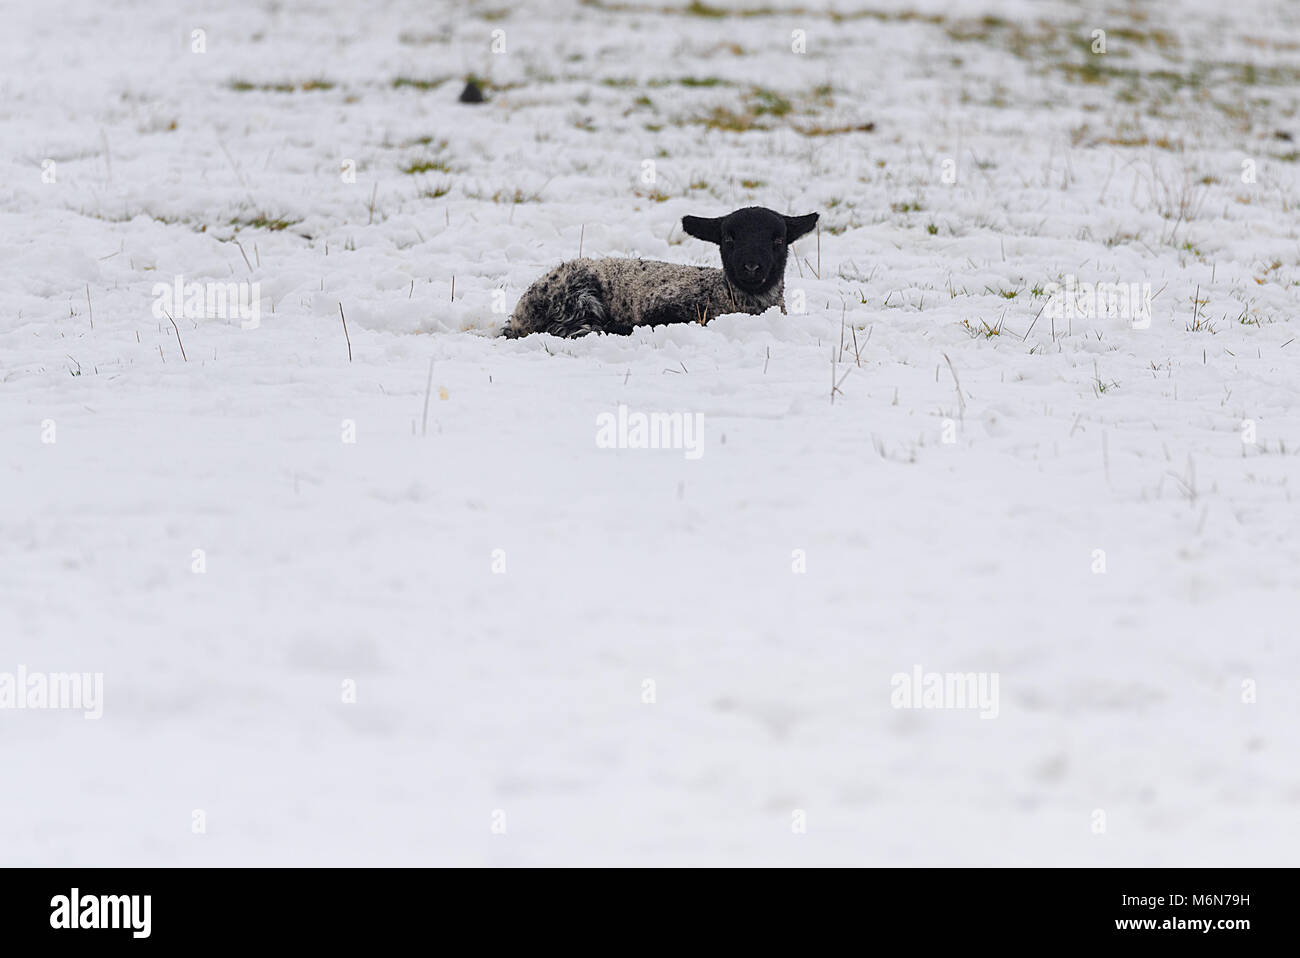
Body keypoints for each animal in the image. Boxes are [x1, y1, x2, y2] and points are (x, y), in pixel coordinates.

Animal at [499, 205, 816, 335]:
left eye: (778, 239)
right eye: (729, 238)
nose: (751, 266)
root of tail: (520, 314)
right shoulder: (661, 306)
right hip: (576, 295)